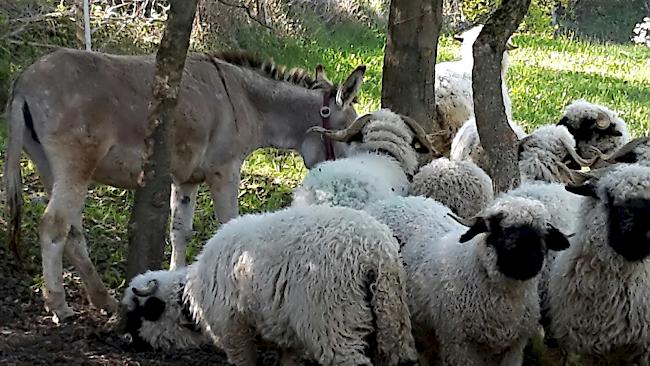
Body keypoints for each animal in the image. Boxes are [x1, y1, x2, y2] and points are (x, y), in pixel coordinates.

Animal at [121, 206, 416, 366]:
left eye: (137, 314)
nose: (128, 344)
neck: (190, 295)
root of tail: (374, 252)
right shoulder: (288, 338)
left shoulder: (235, 332)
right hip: (391, 320)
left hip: (336, 322)